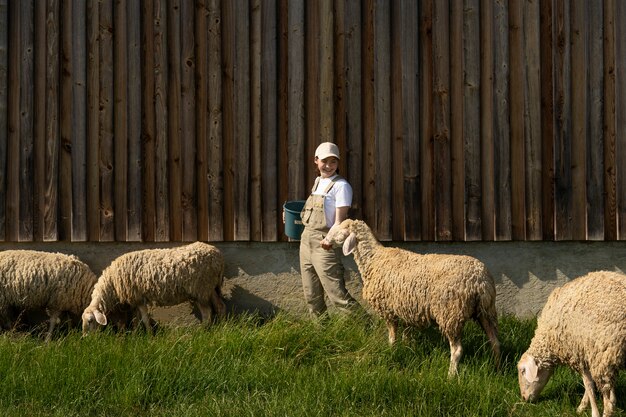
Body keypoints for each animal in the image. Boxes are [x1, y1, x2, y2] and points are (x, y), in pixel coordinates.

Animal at [81, 240, 225, 334]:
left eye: (90, 321)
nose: (86, 338)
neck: (112, 283)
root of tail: (217, 254)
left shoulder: (139, 298)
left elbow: (144, 319)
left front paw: (150, 336)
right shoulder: (135, 300)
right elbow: (136, 319)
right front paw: (136, 334)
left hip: (201, 288)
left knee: (207, 313)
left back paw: (202, 332)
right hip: (210, 288)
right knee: (219, 306)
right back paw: (223, 328)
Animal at [324, 219, 500, 376]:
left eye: (340, 231)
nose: (323, 243)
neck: (374, 258)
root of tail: (479, 279)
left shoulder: (388, 310)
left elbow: (392, 336)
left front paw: (391, 351)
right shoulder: (406, 310)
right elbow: (406, 336)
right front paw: (408, 350)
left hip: (451, 313)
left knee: (457, 350)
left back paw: (451, 375)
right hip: (485, 310)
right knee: (495, 341)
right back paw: (497, 368)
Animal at [516, 270, 624, 416]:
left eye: (523, 371)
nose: (524, 398)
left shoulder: (582, 355)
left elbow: (589, 386)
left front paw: (591, 411)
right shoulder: (595, 357)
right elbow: (596, 387)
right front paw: (583, 406)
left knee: (607, 404)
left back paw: (606, 412)